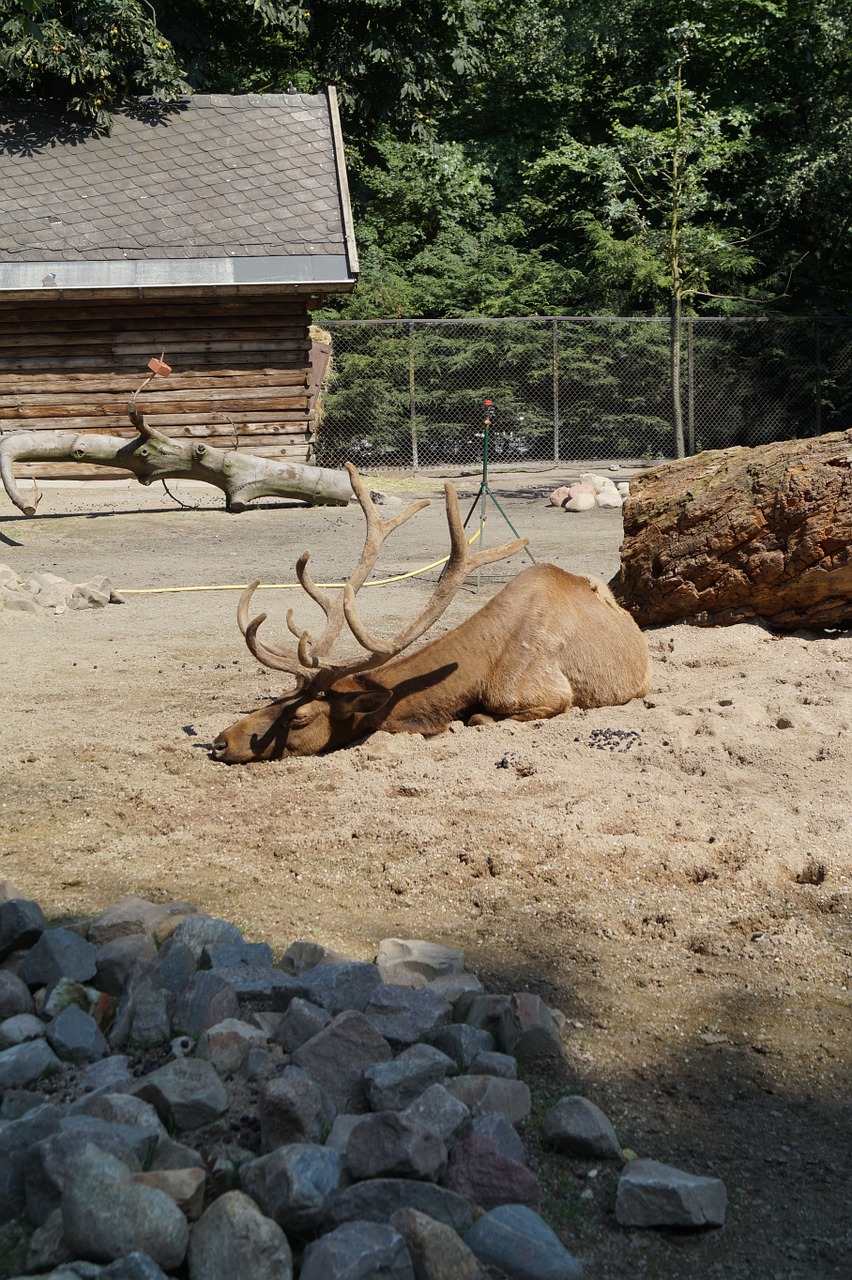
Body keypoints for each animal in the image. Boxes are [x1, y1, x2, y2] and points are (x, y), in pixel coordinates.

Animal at [208, 460, 647, 757]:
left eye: (300, 717)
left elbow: (477, 718)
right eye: (278, 697)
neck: (483, 670)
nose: (219, 742)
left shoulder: (550, 696)